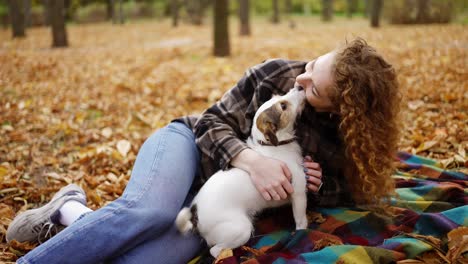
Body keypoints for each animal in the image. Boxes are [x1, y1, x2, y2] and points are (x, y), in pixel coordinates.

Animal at [175, 87, 308, 256]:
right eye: (283, 106)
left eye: (279, 96)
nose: (299, 87)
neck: (273, 146)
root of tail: (195, 214)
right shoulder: (298, 193)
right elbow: (301, 220)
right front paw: (302, 233)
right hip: (241, 228)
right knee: (215, 251)